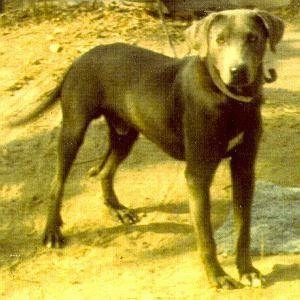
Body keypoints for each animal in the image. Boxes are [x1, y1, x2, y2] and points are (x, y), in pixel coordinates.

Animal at [11, 9, 284, 290]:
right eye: (219, 40)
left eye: (253, 38)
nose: (238, 71)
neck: (228, 99)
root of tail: (80, 59)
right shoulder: (198, 174)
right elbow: (206, 237)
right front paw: (218, 276)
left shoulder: (244, 168)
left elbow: (243, 229)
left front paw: (247, 270)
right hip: (73, 131)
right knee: (57, 183)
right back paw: (52, 231)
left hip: (125, 134)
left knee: (105, 171)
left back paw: (118, 210)